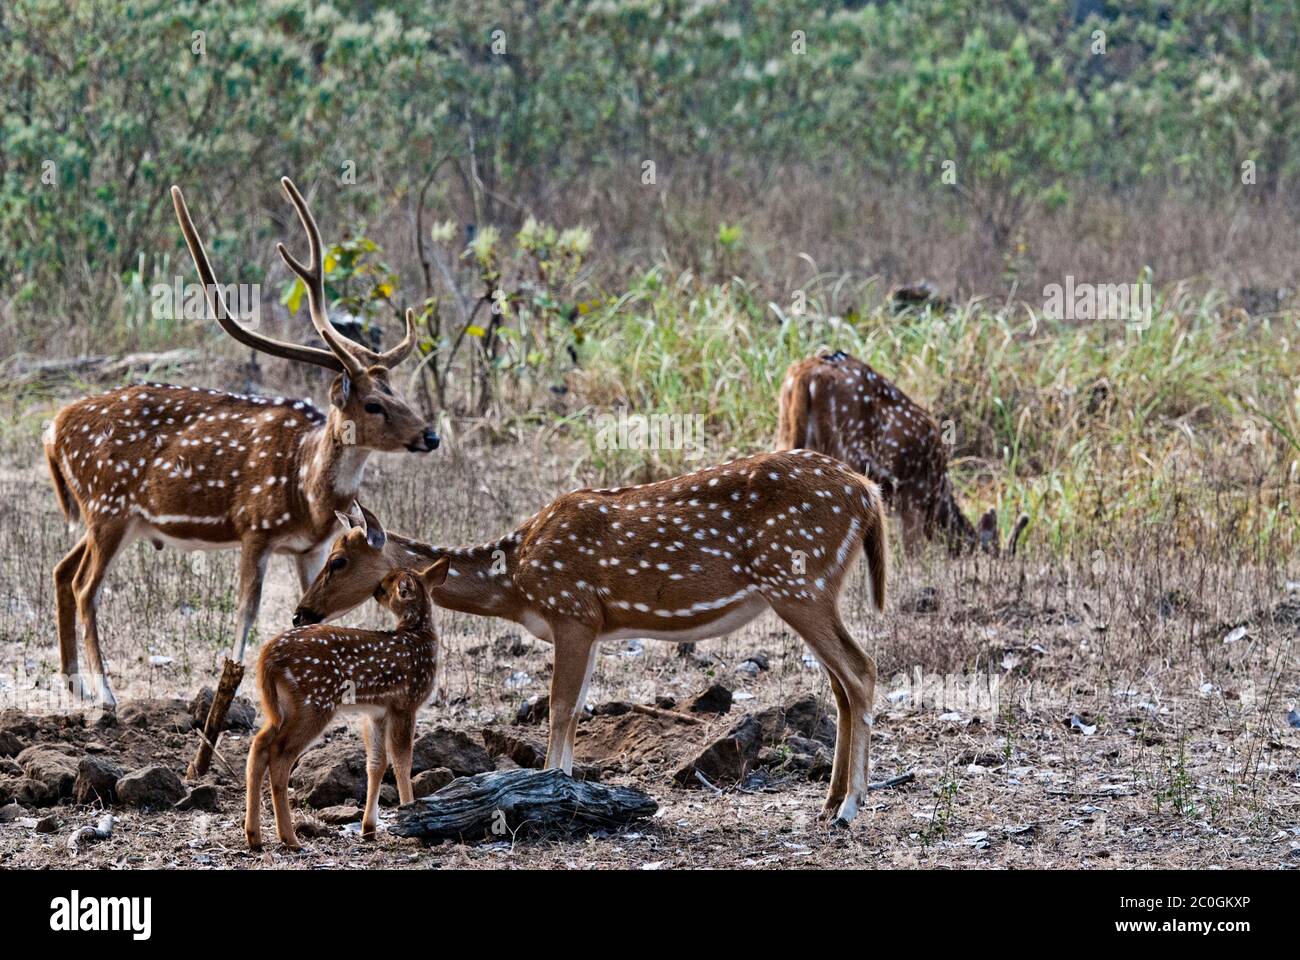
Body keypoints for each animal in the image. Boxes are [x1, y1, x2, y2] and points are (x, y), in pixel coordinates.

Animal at [43, 175, 439, 712]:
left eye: (397, 393)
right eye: (374, 405)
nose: (430, 434)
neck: (306, 490)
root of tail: (54, 427)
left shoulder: (309, 547)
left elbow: (316, 604)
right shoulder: (254, 525)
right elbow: (245, 611)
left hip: (98, 515)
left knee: (63, 571)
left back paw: (75, 685)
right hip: (109, 507)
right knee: (86, 586)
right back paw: (105, 693)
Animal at [245, 556, 449, 848]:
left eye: (385, 586)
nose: (375, 589)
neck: (417, 638)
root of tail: (266, 657)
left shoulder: (377, 711)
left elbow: (376, 763)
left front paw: (369, 829)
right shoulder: (406, 703)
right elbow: (402, 761)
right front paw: (412, 818)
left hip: (282, 707)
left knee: (259, 746)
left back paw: (255, 837)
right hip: (314, 702)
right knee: (279, 755)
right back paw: (290, 839)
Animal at [293, 447, 889, 822]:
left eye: (339, 561)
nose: (301, 614)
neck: (516, 581)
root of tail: (868, 494)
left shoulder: (572, 610)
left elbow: (558, 708)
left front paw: (551, 794)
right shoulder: (598, 626)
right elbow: (577, 708)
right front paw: (565, 791)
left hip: (798, 580)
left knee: (861, 670)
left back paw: (851, 807)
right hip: (810, 587)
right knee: (841, 685)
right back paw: (828, 802)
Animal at [774, 351, 1008, 554]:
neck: (938, 494)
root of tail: (807, 374)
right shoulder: (913, 497)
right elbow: (913, 553)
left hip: (786, 430)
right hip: (842, 449)